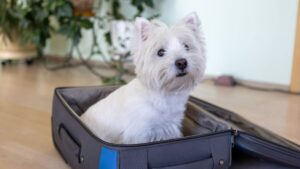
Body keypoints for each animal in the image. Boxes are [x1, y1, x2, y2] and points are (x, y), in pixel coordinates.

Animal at [80, 12, 206, 144]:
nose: (182, 62)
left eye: (186, 47)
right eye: (160, 52)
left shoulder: (168, 127)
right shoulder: (138, 133)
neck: (164, 95)